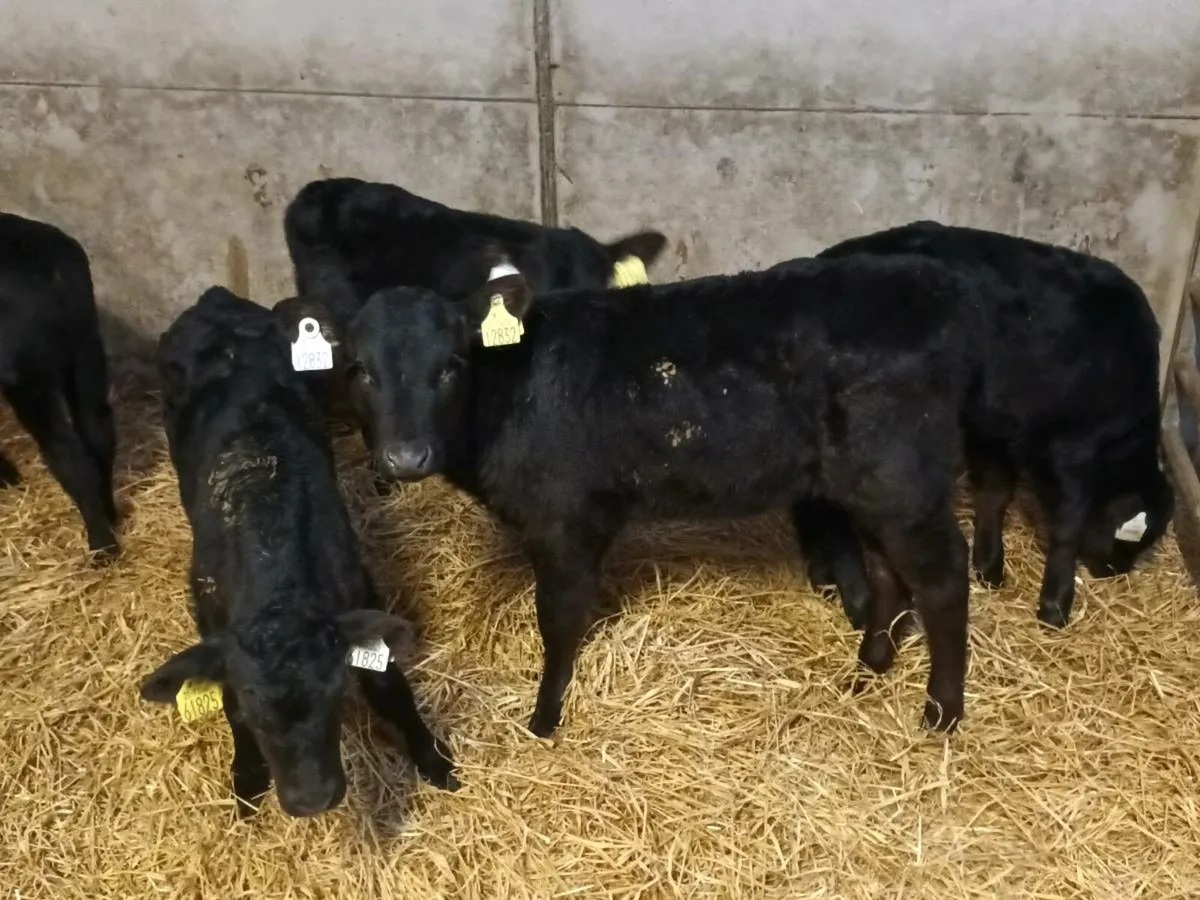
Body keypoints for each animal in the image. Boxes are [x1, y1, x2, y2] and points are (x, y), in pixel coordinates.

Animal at [0, 212, 118, 558]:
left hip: (28, 377)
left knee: (66, 452)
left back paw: (102, 546)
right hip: (85, 342)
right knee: (97, 427)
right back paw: (110, 514)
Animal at [139, 287, 457, 819]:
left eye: (335, 695)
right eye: (254, 712)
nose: (312, 800)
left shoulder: (358, 591)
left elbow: (387, 686)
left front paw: (432, 758)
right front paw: (248, 776)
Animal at [327, 255, 985, 738]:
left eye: (449, 366)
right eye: (361, 370)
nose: (406, 457)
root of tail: (931, 283)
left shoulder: (563, 520)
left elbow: (558, 618)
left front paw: (544, 716)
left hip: (903, 481)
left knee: (943, 579)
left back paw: (941, 713)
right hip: (869, 488)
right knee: (890, 572)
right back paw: (870, 666)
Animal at [784, 221, 1174, 630]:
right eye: (1134, 537)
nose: (1114, 569)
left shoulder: (994, 428)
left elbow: (994, 491)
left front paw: (989, 567)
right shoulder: (1069, 449)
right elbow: (1067, 525)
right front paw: (1055, 605)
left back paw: (824, 577)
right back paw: (855, 597)